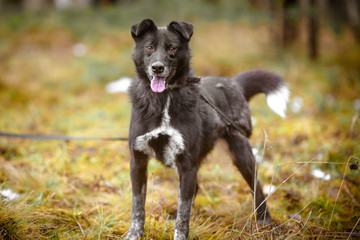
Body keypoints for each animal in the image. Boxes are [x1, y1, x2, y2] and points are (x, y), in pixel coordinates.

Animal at [125, 19, 288, 240]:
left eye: (172, 48)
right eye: (149, 47)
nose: (157, 68)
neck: (163, 99)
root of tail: (233, 83)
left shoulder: (187, 164)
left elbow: (184, 215)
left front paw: (180, 234)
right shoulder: (138, 161)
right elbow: (137, 206)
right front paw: (134, 234)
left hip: (240, 152)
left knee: (257, 187)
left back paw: (264, 221)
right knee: (194, 190)